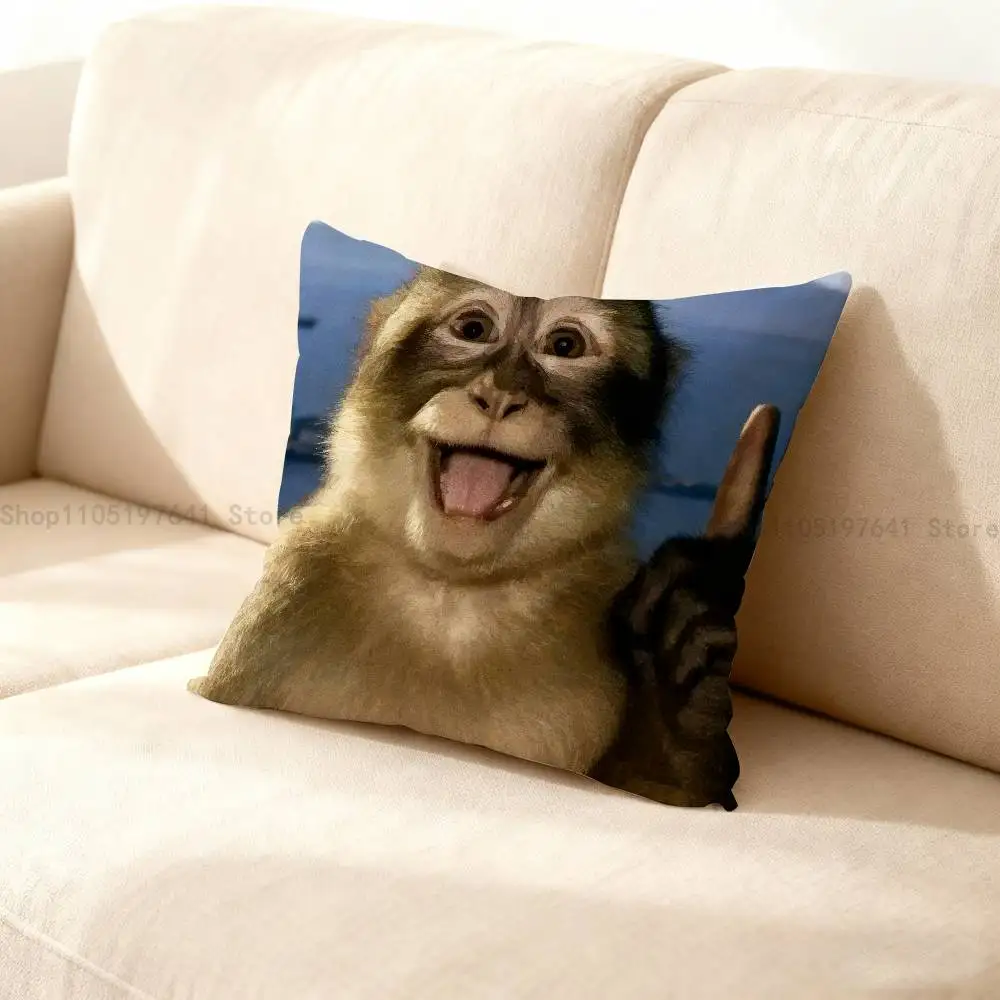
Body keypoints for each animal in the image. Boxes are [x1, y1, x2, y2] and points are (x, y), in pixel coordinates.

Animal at [188, 265, 780, 809]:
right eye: (473, 329)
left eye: (565, 346)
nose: (500, 397)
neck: (454, 592)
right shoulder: (295, 584)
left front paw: (670, 691)